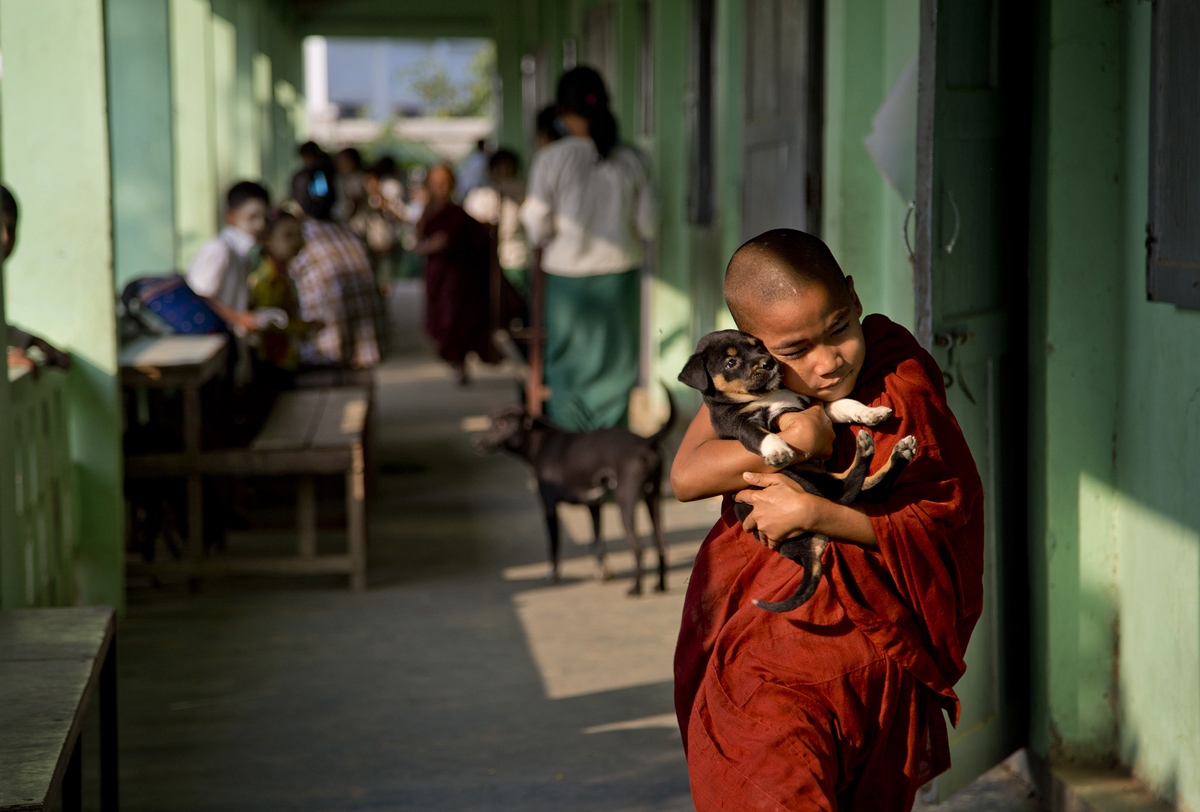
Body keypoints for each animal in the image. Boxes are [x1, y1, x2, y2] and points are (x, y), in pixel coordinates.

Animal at [470, 393, 676, 594]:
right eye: (490, 421)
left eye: (502, 424)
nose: (476, 443)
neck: (540, 442)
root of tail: (646, 441)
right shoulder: (594, 506)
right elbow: (597, 543)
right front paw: (602, 572)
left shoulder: (549, 507)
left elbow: (554, 545)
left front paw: (552, 574)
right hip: (653, 499)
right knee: (661, 545)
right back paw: (660, 585)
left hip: (625, 501)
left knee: (639, 549)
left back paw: (635, 588)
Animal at [676, 328, 916, 609]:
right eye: (730, 363)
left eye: (759, 346)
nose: (769, 363)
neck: (766, 395)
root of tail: (803, 551)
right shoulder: (739, 423)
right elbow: (760, 435)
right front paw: (778, 449)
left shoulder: (809, 404)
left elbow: (841, 403)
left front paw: (870, 412)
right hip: (802, 473)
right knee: (846, 491)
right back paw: (869, 450)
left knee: (865, 490)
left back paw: (899, 451)